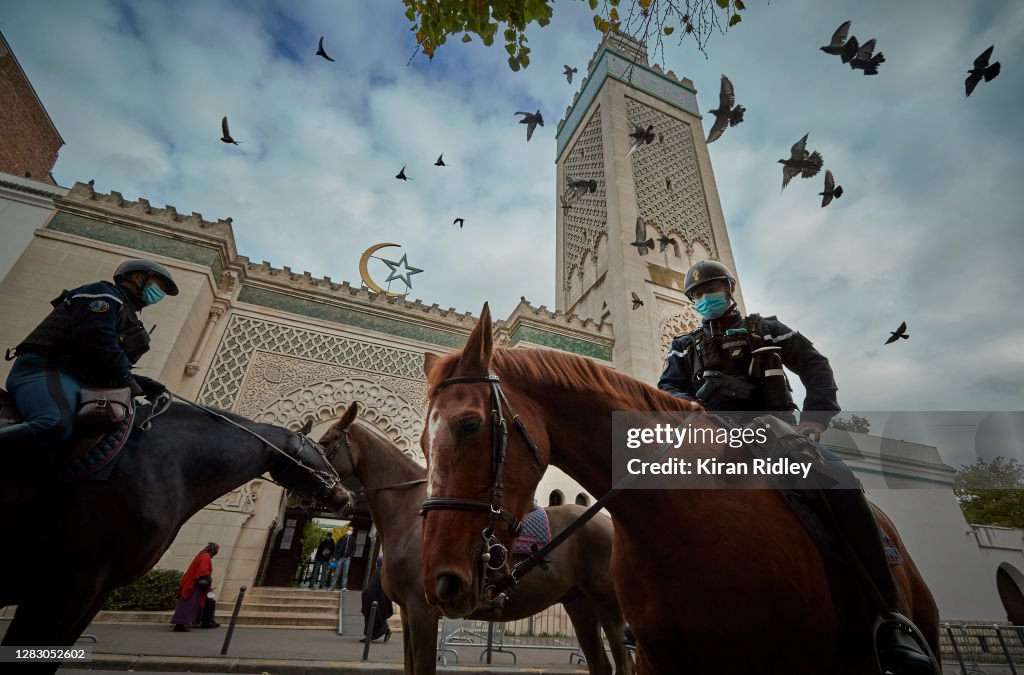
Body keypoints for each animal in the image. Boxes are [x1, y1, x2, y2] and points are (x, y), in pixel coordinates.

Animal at [317, 403, 630, 671]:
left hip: (608, 604)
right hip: (579, 604)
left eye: (325, 443)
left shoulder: (422, 611)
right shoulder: (407, 612)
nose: (339, 497)